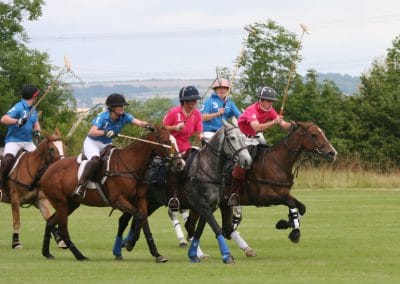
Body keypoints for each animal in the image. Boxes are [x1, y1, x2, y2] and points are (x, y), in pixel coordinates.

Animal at [40, 125, 184, 260]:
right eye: (166, 141)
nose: (180, 163)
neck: (131, 165)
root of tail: (48, 170)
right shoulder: (119, 200)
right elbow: (139, 217)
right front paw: (130, 244)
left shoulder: (141, 200)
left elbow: (144, 221)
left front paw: (156, 254)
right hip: (61, 203)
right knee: (63, 230)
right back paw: (80, 256)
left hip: (71, 204)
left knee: (50, 221)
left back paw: (47, 253)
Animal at [112, 119, 252, 264]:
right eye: (232, 138)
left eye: (244, 137)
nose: (247, 160)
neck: (207, 169)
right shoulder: (201, 204)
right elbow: (214, 227)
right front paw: (226, 255)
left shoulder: (209, 206)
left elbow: (198, 230)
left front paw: (193, 254)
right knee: (130, 219)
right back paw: (126, 246)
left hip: (151, 202)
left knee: (134, 218)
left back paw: (126, 244)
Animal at [185, 121, 338, 256]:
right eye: (313, 134)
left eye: (323, 133)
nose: (332, 153)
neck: (277, 162)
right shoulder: (266, 197)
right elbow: (291, 204)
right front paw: (294, 231)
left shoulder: (284, 193)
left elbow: (301, 207)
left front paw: (287, 223)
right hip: (200, 203)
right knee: (190, 225)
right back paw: (198, 252)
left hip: (221, 203)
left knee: (220, 227)